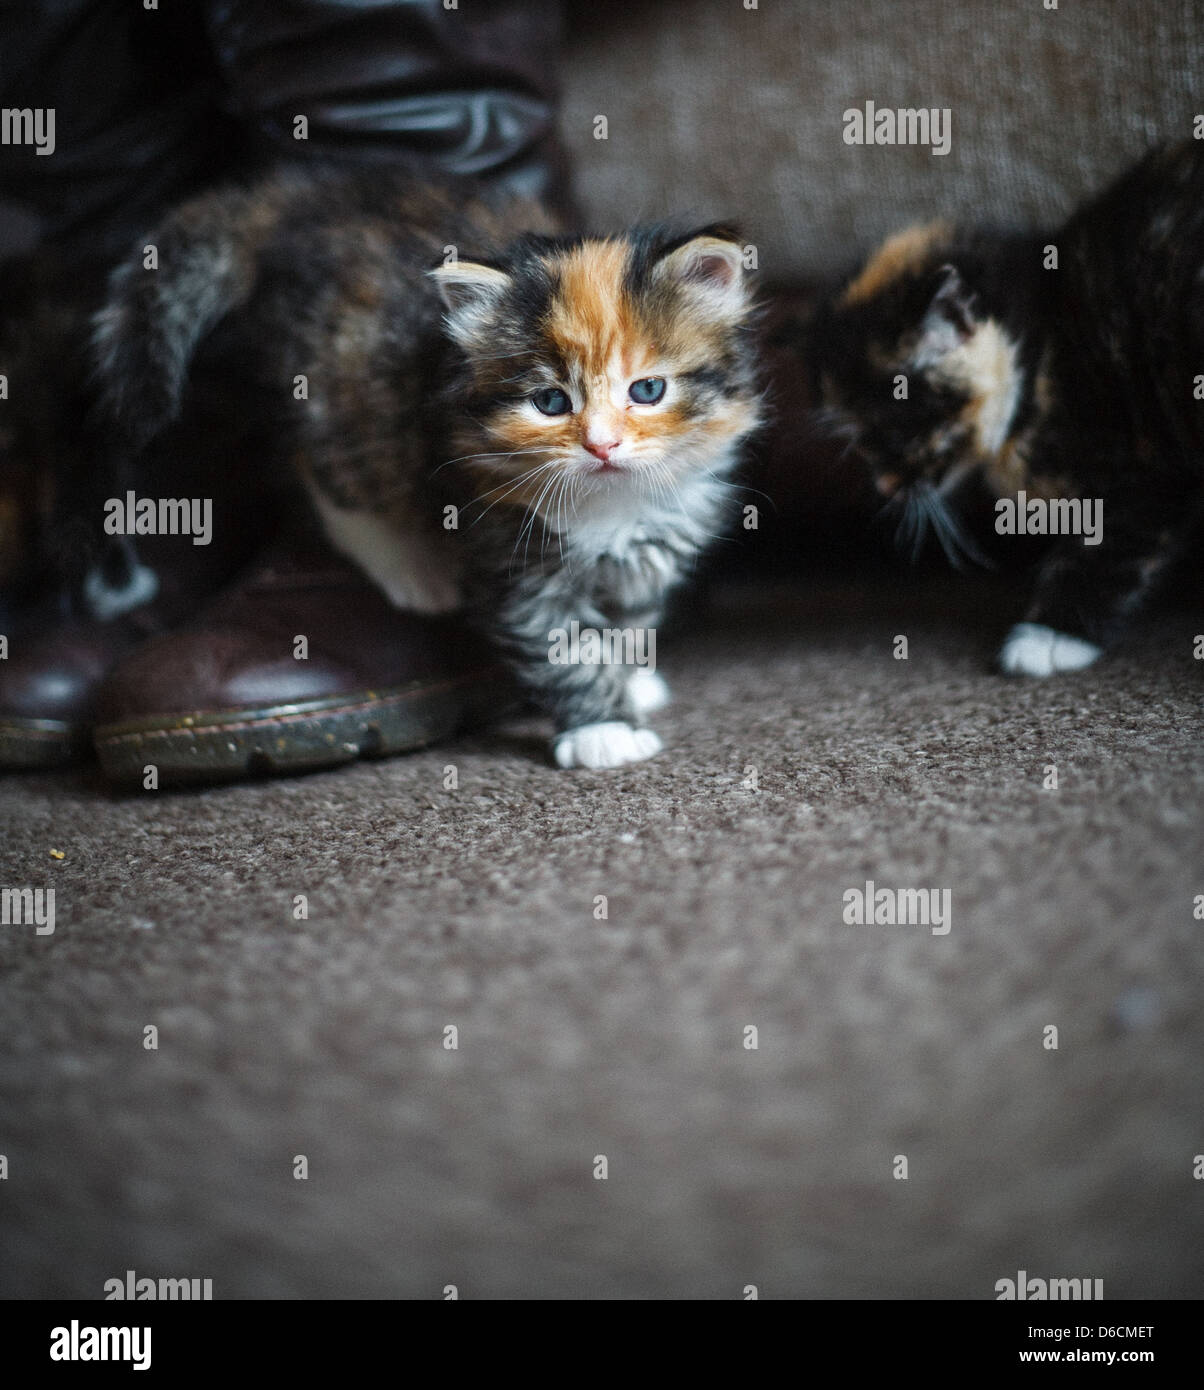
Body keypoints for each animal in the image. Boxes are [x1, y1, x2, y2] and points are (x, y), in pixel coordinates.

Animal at [98, 169, 767, 772]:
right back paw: (412, 567)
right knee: (324, 471)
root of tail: (315, 200)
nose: (601, 446)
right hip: (341, 397)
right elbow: (566, 653)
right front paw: (601, 730)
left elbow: (629, 622)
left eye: (647, 390)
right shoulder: (515, 556)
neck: (616, 506)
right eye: (551, 402)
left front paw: (630, 682)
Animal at [806, 139, 1201, 672]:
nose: (884, 486)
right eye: (861, 444)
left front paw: (1048, 635)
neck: (1044, 352)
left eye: (889, 434)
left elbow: (1112, 543)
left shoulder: (1141, 458)